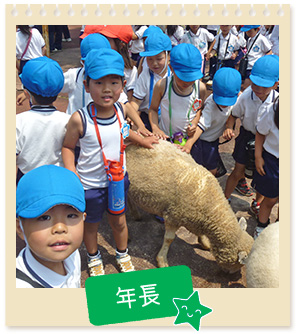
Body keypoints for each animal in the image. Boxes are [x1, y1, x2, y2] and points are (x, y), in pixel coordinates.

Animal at [125, 140, 254, 272]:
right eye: (239, 263)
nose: (233, 273)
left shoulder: (198, 218)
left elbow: (200, 234)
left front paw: (205, 243)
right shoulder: (173, 216)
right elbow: (169, 239)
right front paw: (162, 260)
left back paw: (135, 214)